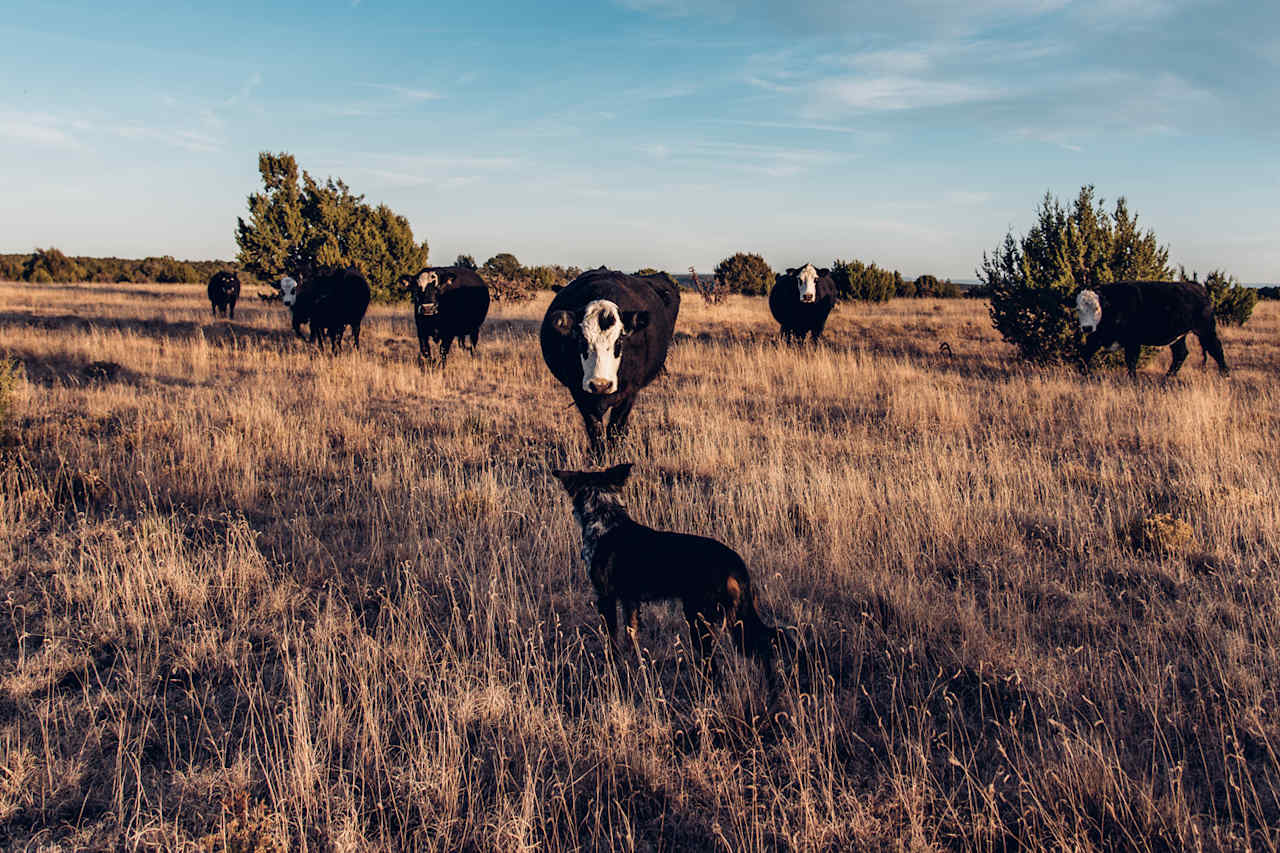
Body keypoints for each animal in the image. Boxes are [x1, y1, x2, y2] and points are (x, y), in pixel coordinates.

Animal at [540, 266, 680, 450]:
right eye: (581, 340)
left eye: (619, 340)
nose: (600, 385)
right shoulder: (578, 392)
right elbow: (595, 430)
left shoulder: (629, 392)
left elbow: (616, 429)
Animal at [552, 461, 783, 666]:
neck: (604, 519)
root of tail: (735, 562)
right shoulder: (630, 600)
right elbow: (631, 637)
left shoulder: (605, 596)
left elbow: (612, 642)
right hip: (735, 617)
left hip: (700, 617)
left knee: (714, 665)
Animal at [1075, 279, 1233, 376]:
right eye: (1078, 309)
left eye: (1097, 308)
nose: (1087, 328)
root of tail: (1198, 287)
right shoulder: (1096, 337)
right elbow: (1085, 354)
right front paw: (1085, 374)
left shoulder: (1133, 341)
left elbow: (1131, 361)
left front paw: (1133, 380)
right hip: (1178, 336)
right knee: (1181, 354)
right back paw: (1168, 377)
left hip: (1205, 330)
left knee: (1216, 349)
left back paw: (1225, 374)